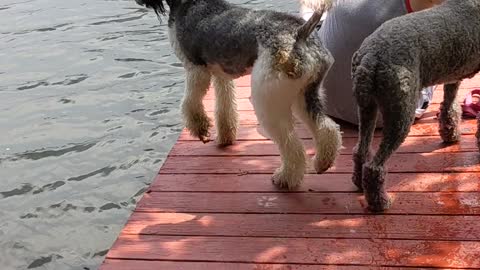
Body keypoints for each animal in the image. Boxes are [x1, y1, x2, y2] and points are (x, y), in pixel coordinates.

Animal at [136, 0, 342, 190]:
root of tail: (300, 33)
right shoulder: (221, 75)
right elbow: (224, 107)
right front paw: (225, 136)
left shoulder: (196, 70)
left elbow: (190, 103)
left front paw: (200, 129)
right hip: (304, 95)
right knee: (327, 128)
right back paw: (323, 163)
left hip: (268, 100)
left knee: (292, 146)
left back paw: (285, 178)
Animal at [350, 0, 480, 212]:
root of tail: (371, 57)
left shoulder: (453, 74)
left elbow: (449, 108)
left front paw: (451, 135)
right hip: (401, 110)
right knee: (375, 167)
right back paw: (380, 202)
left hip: (366, 107)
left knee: (360, 151)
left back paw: (359, 183)